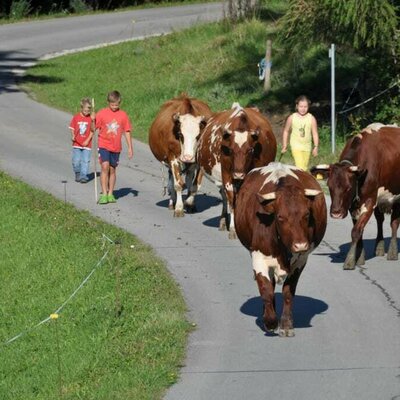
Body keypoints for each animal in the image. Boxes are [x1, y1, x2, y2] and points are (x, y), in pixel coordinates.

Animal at [196, 103, 276, 239]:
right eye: (230, 150)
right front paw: (233, 229)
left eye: (250, 150)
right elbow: (232, 201)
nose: (238, 174)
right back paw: (223, 221)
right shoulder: (227, 175)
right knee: (225, 197)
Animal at [234, 161, 324, 336]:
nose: (300, 245)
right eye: (280, 217)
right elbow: (266, 289)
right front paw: (270, 321)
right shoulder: (259, 257)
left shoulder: (301, 260)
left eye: (306, 215)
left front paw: (286, 324)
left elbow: (288, 291)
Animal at [310, 125, 400, 268]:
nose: (336, 213)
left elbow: (356, 230)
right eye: (329, 187)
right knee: (380, 220)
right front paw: (360, 257)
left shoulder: (369, 201)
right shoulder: (352, 205)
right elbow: (359, 229)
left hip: (396, 196)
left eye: (348, 187)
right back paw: (379, 247)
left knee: (394, 222)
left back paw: (392, 252)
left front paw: (350, 259)